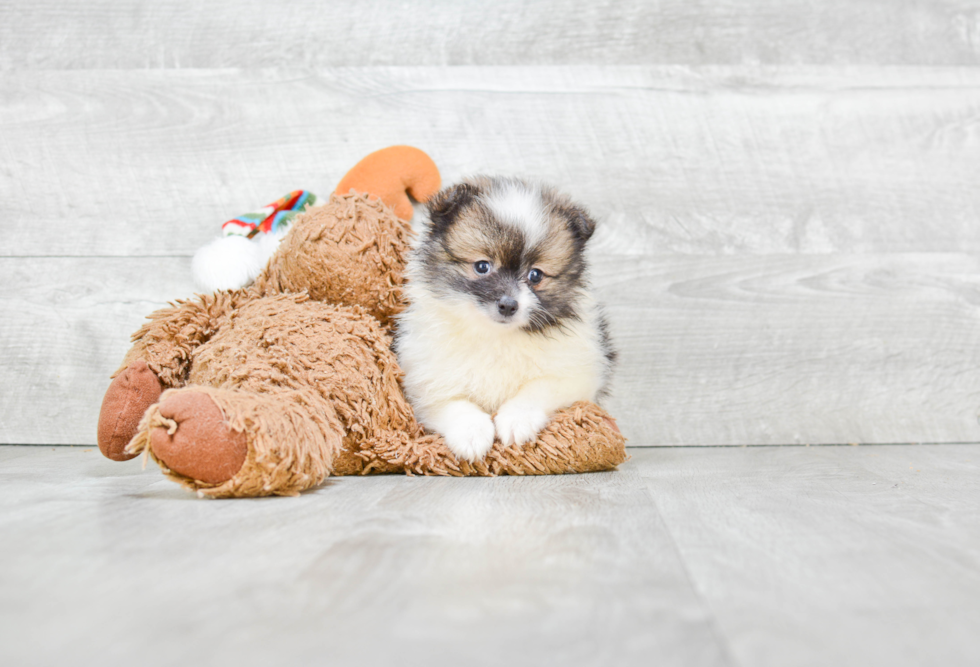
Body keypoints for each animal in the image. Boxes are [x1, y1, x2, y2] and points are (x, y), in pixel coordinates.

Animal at [394, 175, 616, 462]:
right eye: (482, 266)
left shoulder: (576, 375)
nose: (509, 305)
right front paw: (471, 433)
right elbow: (452, 403)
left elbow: (538, 389)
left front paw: (516, 420)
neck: (495, 335)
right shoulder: (425, 384)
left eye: (535, 275)